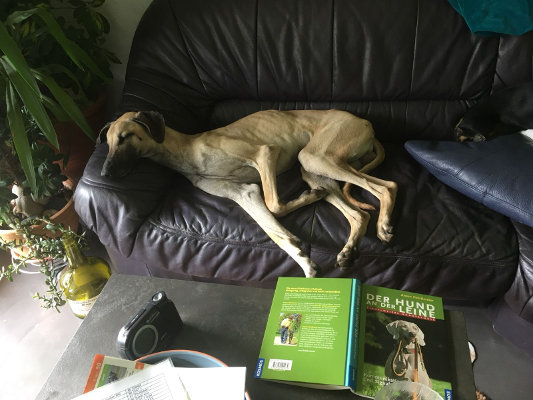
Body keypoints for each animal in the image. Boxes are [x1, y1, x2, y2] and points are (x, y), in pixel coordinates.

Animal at [97, 110, 397, 277]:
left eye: (125, 137)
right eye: (108, 143)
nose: (105, 173)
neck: (187, 150)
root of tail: (364, 121)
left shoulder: (264, 154)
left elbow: (275, 205)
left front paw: (306, 199)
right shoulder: (245, 194)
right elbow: (273, 231)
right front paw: (303, 261)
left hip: (317, 156)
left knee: (387, 186)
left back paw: (383, 226)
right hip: (313, 166)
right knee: (358, 214)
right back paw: (348, 249)